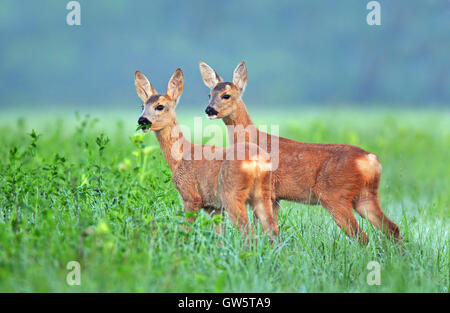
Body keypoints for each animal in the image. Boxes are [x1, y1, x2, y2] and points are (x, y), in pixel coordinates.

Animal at [134, 69, 278, 238]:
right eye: (142, 106)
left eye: (160, 106)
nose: (142, 120)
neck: (179, 157)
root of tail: (256, 162)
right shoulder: (213, 206)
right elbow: (219, 235)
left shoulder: (191, 196)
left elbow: (184, 230)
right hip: (262, 193)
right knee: (273, 229)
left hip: (232, 193)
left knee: (248, 233)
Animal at [199, 59, 402, 243]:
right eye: (209, 94)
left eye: (226, 95)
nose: (209, 109)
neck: (251, 140)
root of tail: (371, 160)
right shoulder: (276, 197)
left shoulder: (269, 192)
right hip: (365, 195)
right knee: (392, 228)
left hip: (335, 195)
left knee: (361, 237)